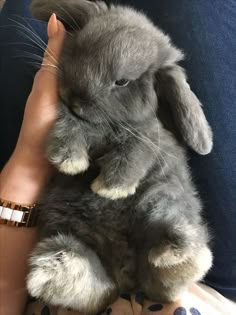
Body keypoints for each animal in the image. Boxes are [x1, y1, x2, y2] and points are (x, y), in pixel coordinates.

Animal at [27, 1, 214, 314]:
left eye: (122, 81)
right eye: (80, 49)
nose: (76, 97)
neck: (105, 125)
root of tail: (126, 275)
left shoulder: (147, 134)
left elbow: (135, 151)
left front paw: (109, 188)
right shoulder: (71, 118)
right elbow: (70, 124)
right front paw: (69, 160)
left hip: (160, 200)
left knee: (164, 273)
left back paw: (178, 256)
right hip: (67, 233)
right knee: (96, 288)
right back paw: (54, 273)